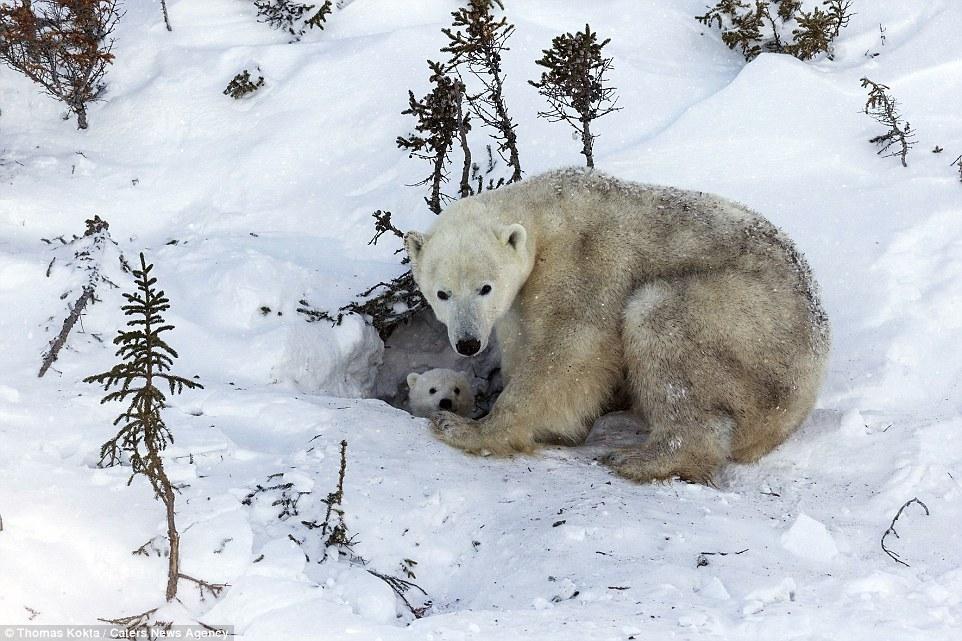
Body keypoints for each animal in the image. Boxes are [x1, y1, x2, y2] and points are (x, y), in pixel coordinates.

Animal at [402, 168, 828, 482]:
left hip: (746, 324)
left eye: (485, 287)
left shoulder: (583, 264)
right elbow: (522, 341)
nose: (468, 343)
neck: (545, 212)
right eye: (442, 293)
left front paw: (468, 428)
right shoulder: (519, 303)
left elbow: (569, 352)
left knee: (661, 320)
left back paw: (638, 458)